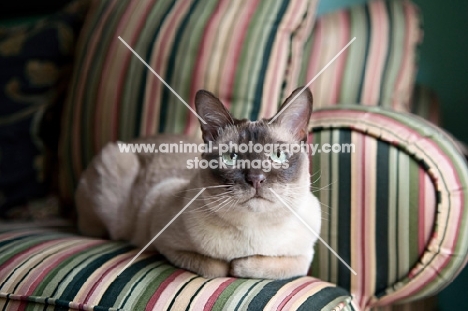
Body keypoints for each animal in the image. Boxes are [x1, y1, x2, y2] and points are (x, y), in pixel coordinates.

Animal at [76, 87, 322, 280]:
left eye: (277, 155)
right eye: (230, 158)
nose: (255, 179)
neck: (254, 230)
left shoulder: (305, 257)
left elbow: (261, 265)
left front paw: (241, 264)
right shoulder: (162, 239)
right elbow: (218, 267)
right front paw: (231, 265)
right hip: (114, 162)